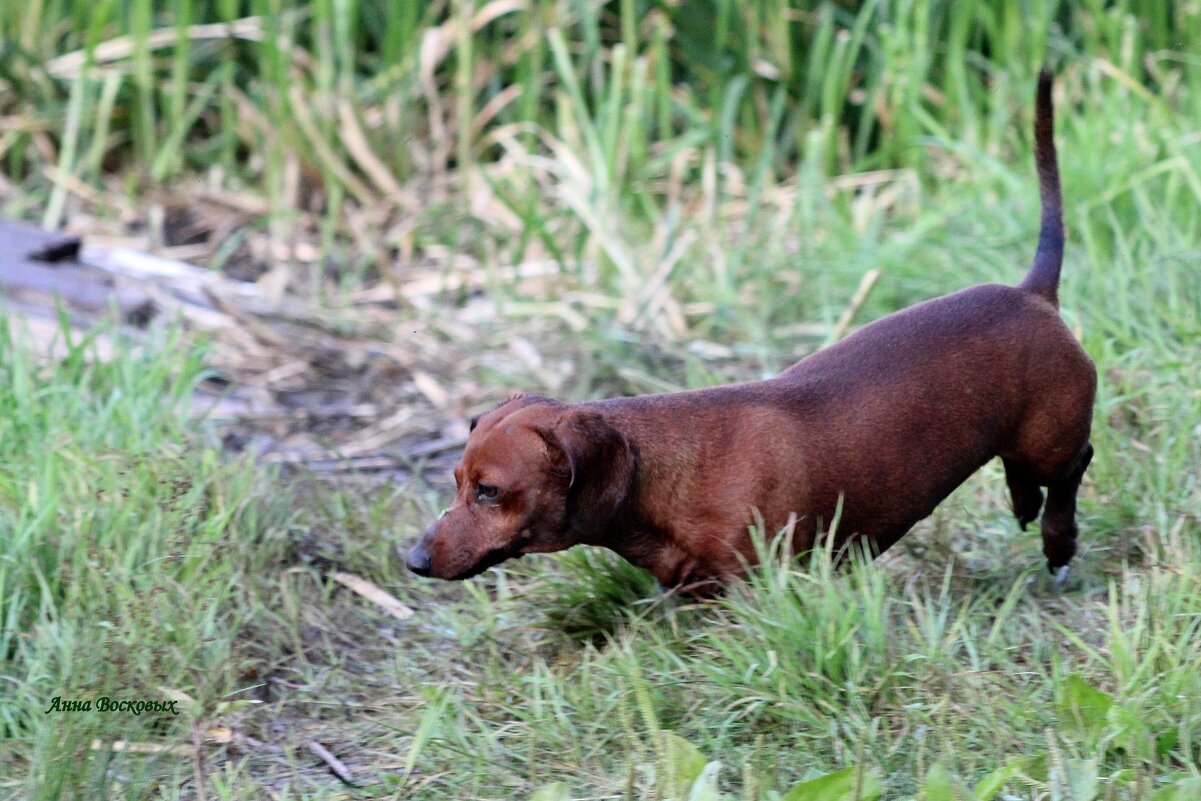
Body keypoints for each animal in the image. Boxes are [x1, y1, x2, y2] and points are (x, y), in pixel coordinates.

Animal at [405, 70, 1100, 595]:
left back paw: (1057, 538)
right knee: (1024, 472)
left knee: (1073, 466)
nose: (411, 560)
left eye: (491, 492)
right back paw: (1023, 504)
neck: (663, 483)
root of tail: (1031, 292)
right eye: (457, 482)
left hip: (1052, 436)